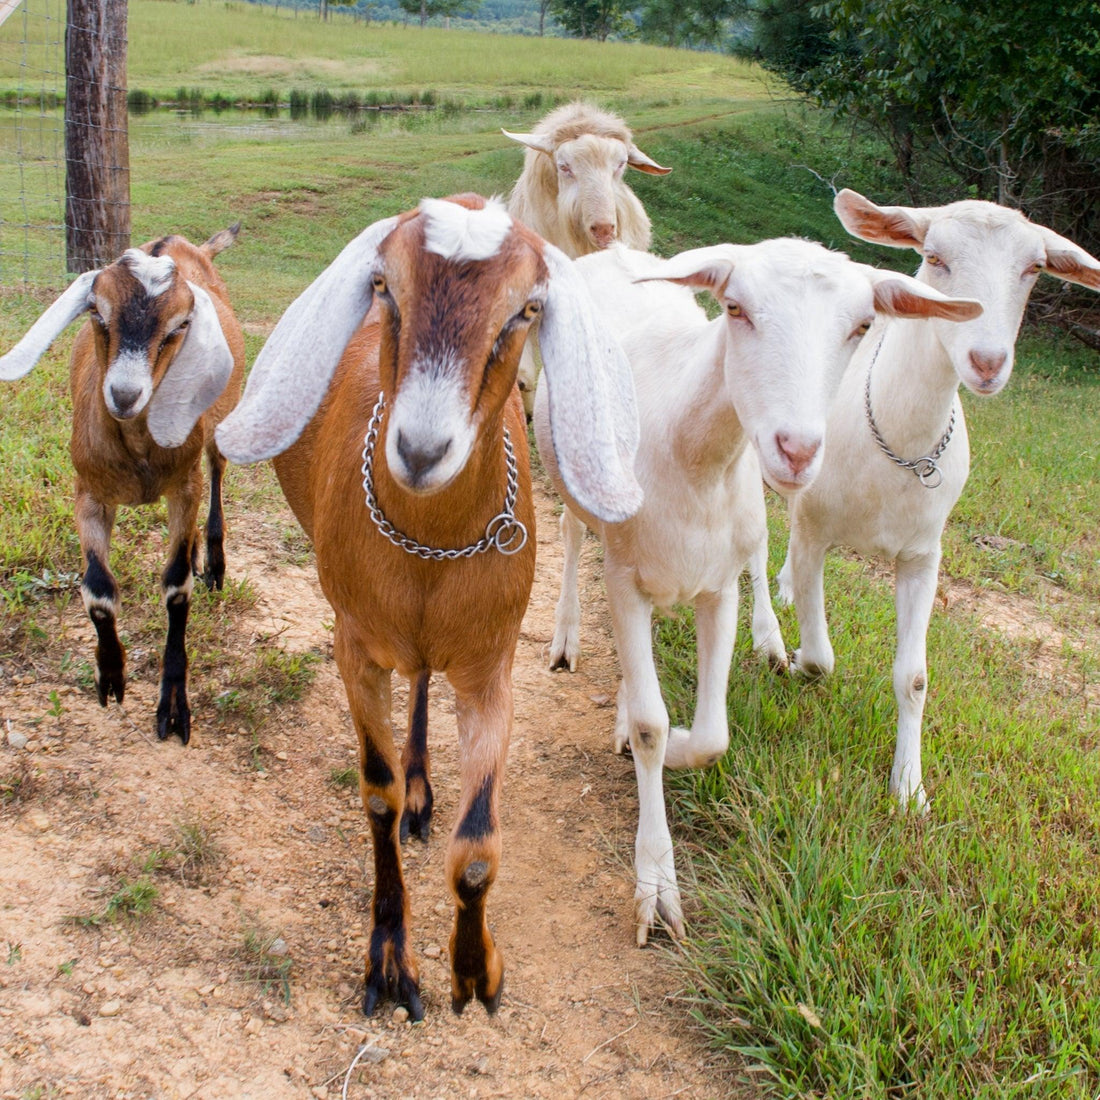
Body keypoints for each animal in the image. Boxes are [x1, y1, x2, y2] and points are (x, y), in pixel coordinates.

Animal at [0, 228, 245, 744]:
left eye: (178, 326)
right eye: (97, 311)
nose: (125, 394)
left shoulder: (183, 487)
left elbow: (175, 587)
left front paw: (172, 706)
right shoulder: (88, 493)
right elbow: (97, 589)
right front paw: (111, 676)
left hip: (216, 427)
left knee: (215, 475)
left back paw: (213, 562)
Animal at [214, 194, 641, 1020]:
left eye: (526, 309)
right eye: (385, 287)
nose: (418, 450)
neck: (430, 551)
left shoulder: (491, 668)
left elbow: (476, 847)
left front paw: (475, 973)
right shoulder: (353, 647)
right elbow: (375, 798)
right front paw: (388, 964)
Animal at [537, 239, 981, 945]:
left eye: (862, 326)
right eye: (736, 308)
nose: (796, 450)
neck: (687, 455)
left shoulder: (717, 588)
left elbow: (709, 736)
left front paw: (680, 740)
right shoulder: (625, 578)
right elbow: (651, 725)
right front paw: (656, 886)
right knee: (571, 534)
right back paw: (565, 638)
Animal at [776, 189, 1100, 811]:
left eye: (1034, 268)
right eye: (933, 256)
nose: (987, 361)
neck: (895, 451)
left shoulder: (923, 555)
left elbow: (915, 677)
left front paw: (910, 789)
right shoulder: (813, 527)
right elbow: (823, 655)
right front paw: (798, 661)